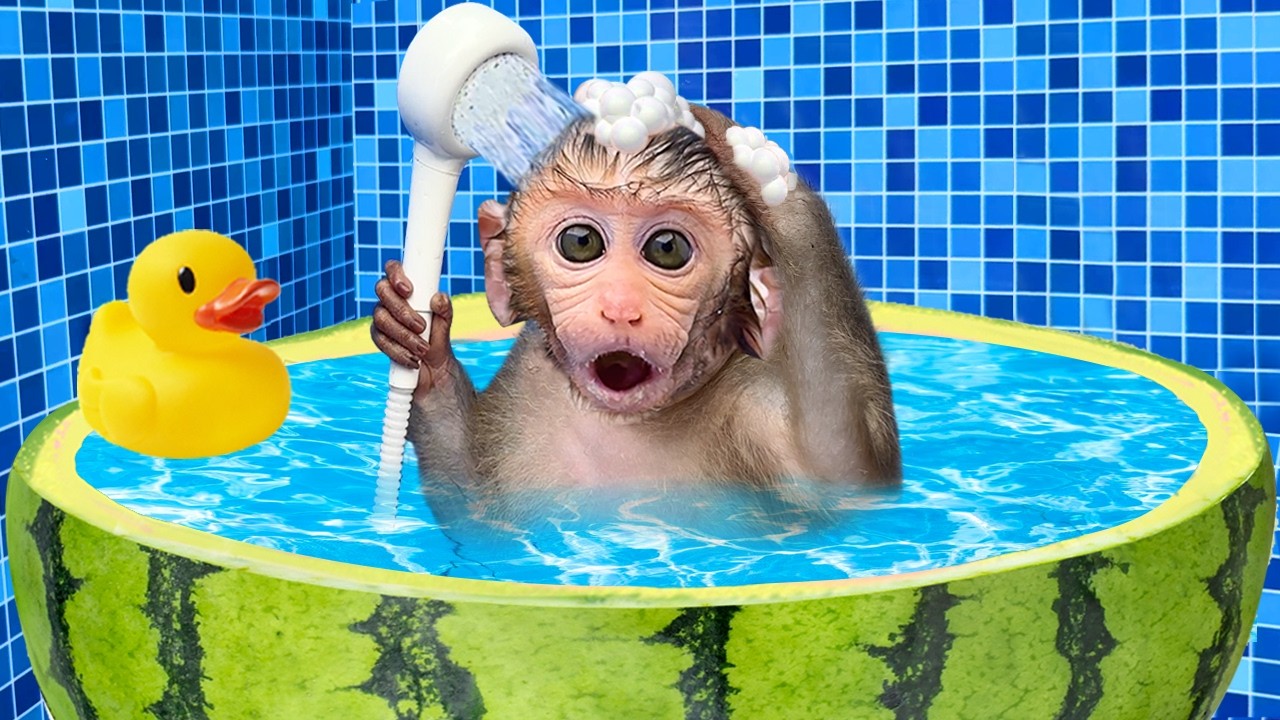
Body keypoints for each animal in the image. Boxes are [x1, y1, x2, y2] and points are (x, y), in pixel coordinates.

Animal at [371, 94, 900, 522]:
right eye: (580, 242)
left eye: (667, 249)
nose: (621, 308)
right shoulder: (524, 388)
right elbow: (476, 511)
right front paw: (422, 351)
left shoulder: (755, 409)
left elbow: (848, 478)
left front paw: (767, 180)